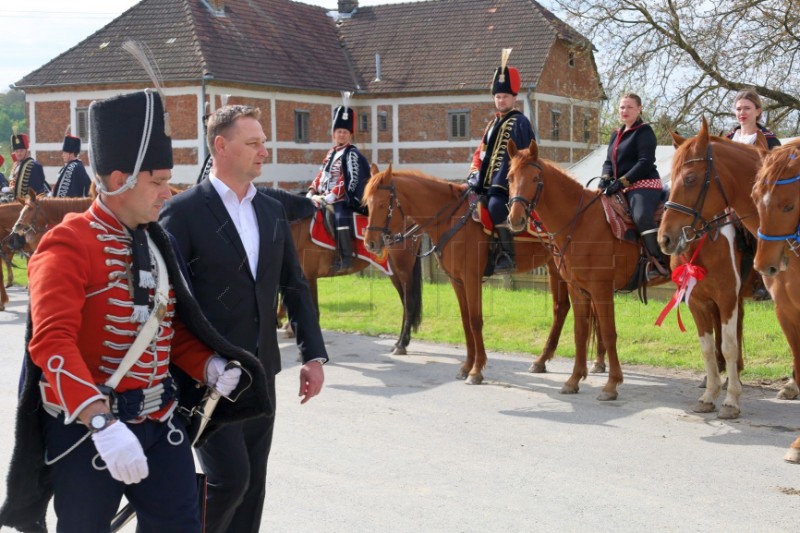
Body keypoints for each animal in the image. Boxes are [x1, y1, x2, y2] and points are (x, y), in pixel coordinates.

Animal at [362, 164, 600, 384]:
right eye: (367, 204)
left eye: (382, 204)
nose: (370, 243)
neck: (452, 219)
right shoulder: (457, 281)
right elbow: (466, 320)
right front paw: (467, 366)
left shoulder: (471, 279)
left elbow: (475, 320)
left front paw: (476, 370)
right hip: (556, 266)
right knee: (562, 308)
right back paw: (545, 361)